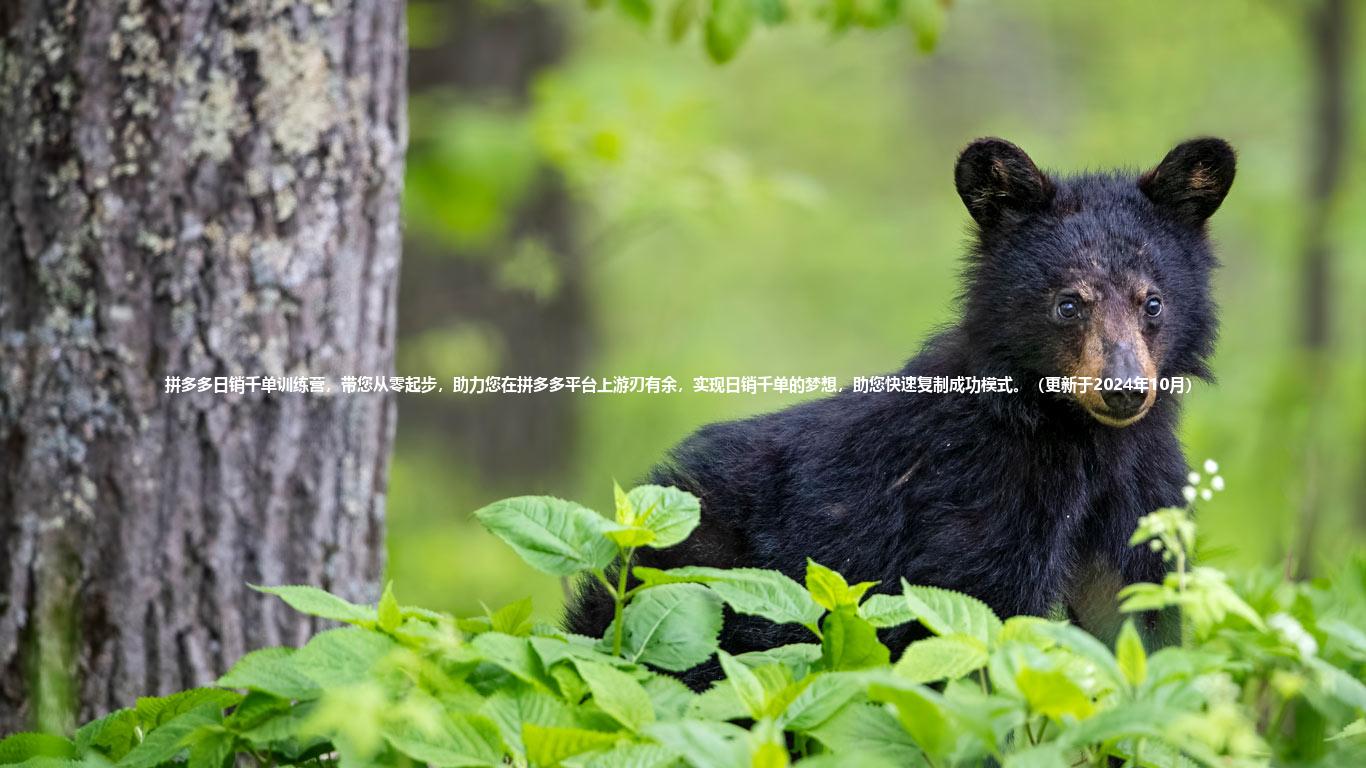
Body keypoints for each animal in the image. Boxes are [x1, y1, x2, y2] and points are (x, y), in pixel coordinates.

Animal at [565, 137, 1240, 680]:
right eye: (1068, 304)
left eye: (1152, 302)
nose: (1123, 389)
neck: (1084, 440)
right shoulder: (975, 500)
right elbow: (967, 632)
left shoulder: (1142, 493)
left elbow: (1135, 624)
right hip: (696, 589)